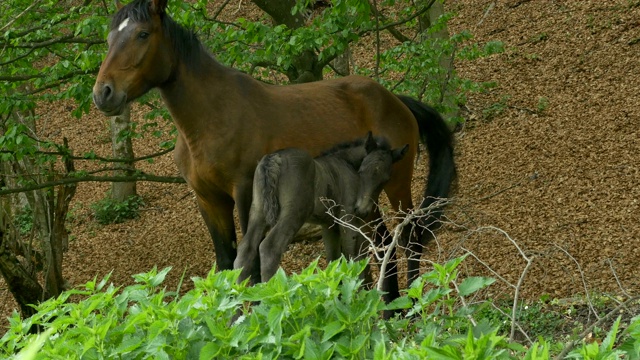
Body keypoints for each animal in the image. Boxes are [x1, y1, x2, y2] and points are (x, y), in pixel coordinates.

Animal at [234, 134, 404, 282]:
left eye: (385, 180)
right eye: (362, 171)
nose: (362, 210)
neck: (345, 163)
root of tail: (273, 158)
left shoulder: (329, 225)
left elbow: (333, 260)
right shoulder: (348, 220)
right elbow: (352, 257)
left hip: (258, 211)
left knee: (245, 250)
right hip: (294, 214)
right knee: (270, 248)